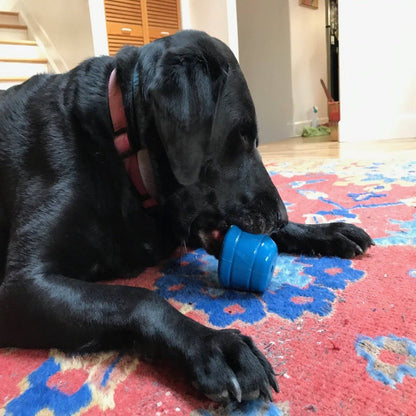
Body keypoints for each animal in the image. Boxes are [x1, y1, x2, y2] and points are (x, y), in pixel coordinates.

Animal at [0, 30, 372, 402]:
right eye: (239, 136)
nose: (280, 215)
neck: (120, 148)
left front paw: (326, 231)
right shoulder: (21, 287)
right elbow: (139, 299)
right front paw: (214, 345)